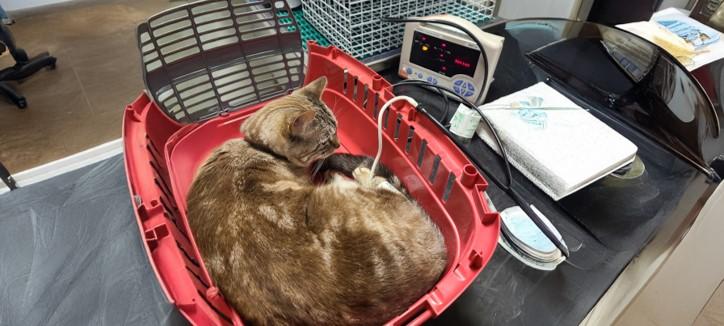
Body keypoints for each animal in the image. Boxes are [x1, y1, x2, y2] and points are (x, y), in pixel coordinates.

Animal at [187, 77, 446, 326]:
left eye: (338, 128)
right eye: (324, 142)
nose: (338, 144)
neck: (258, 148)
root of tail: (442, 257)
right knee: (388, 187)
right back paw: (358, 174)